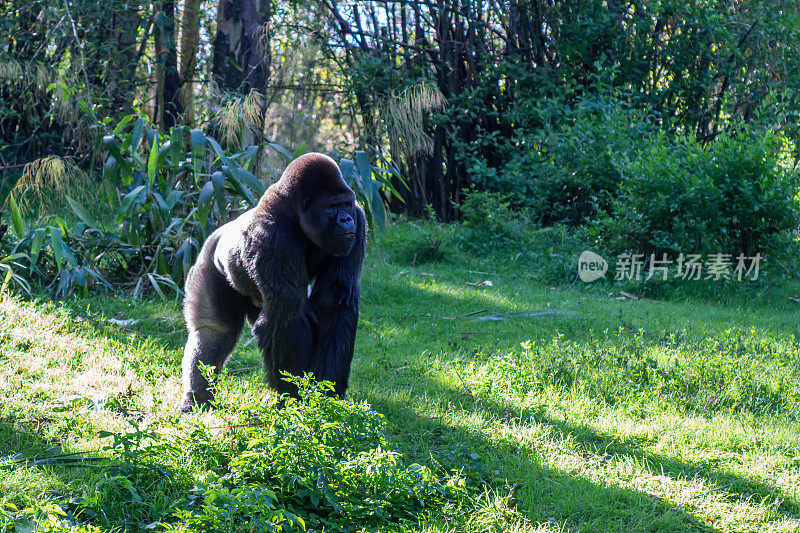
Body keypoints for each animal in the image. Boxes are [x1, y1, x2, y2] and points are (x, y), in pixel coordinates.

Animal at [180, 151, 366, 412]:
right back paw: (196, 397)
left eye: (346, 204)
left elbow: (334, 302)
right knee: (214, 332)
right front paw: (295, 394)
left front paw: (326, 392)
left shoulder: (359, 221)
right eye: (332, 207)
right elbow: (288, 315)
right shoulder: (271, 238)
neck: (295, 213)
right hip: (208, 264)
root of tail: (215, 234)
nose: (346, 220)